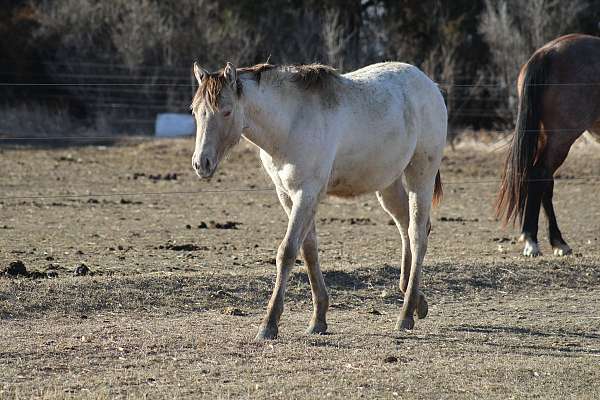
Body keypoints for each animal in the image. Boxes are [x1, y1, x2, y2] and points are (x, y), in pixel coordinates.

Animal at [191, 61, 446, 340]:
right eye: (195, 111)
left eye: (226, 111)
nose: (201, 163)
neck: (290, 123)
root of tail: (430, 85)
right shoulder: (287, 195)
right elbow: (309, 251)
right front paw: (318, 319)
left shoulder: (307, 193)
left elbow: (287, 251)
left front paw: (269, 324)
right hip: (388, 185)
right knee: (406, 228)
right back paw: (417, 301)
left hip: (420, 176)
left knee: (417, 234)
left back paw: (406, 314)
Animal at [496, 34, 600, 256]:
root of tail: (547, 52)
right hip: (561, 139)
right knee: (540, 174)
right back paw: (532, 241)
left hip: (546, 136)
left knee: (544, 180)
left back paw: (558, 242)